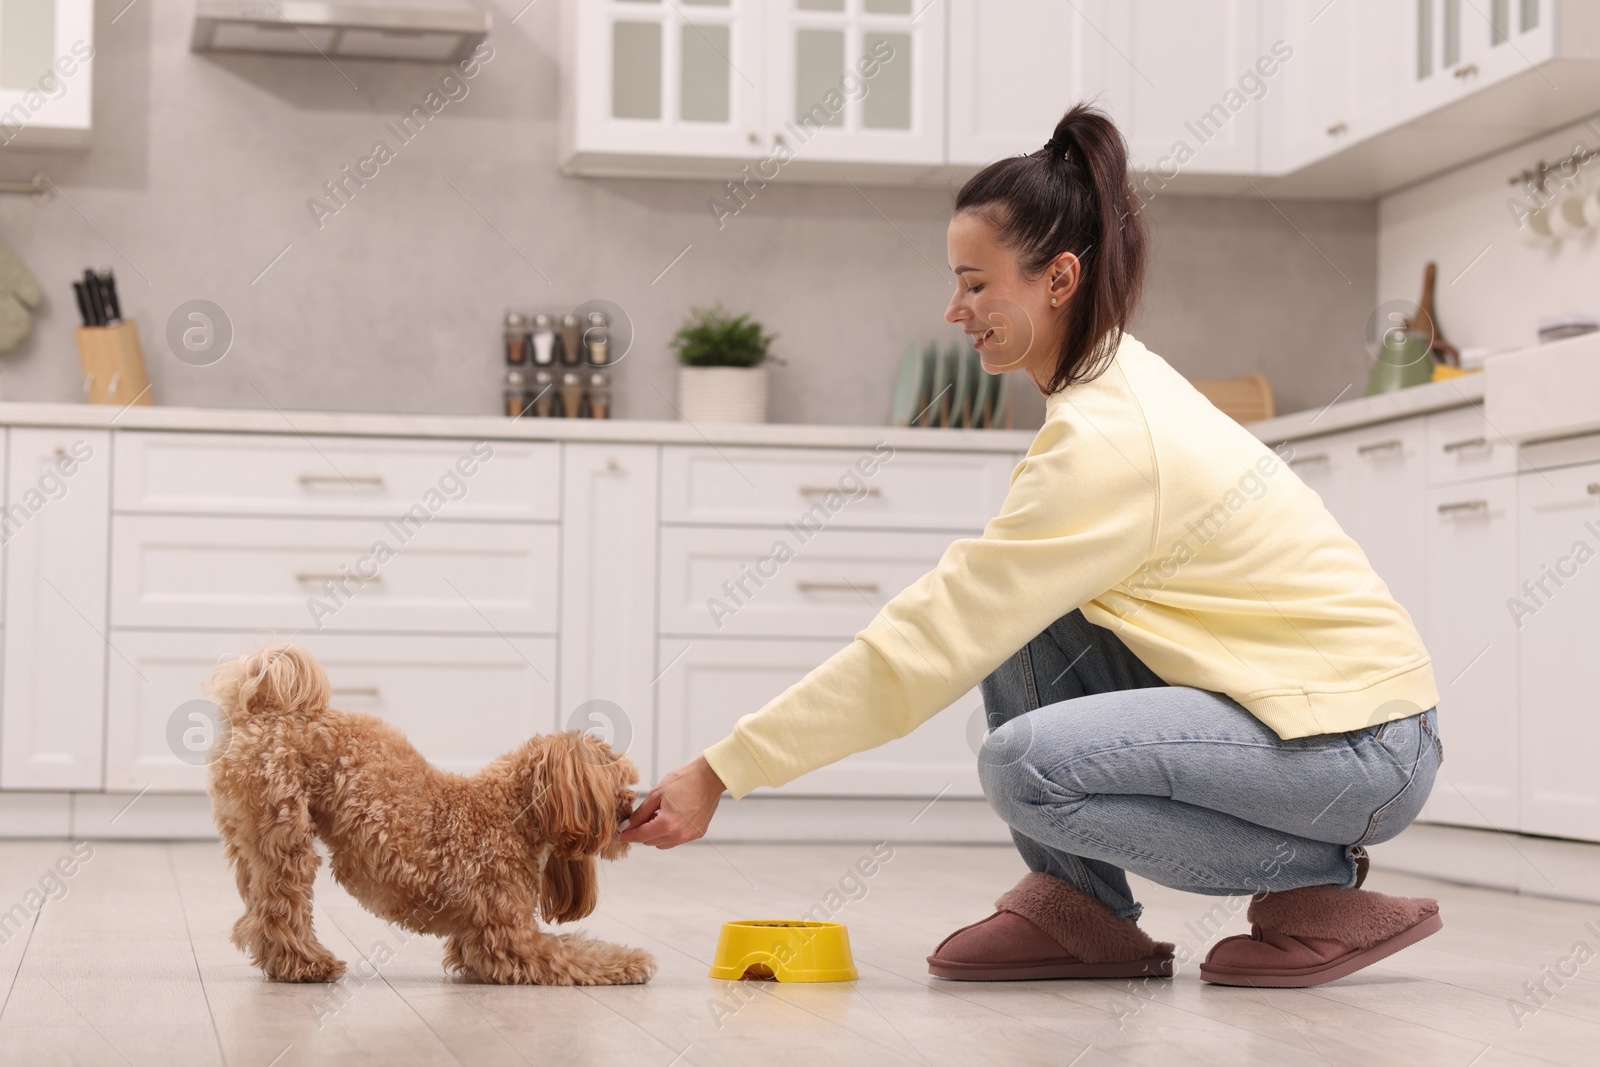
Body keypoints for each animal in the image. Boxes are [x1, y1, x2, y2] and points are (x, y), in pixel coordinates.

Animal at [206, 643, 656, 985]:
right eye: (619, 783)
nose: (630, 804)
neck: (512, 813)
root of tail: (262, 713)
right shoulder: (511, 940)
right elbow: (576, 954)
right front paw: (632, 961)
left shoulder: (472, 942)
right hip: (285, 830)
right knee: (281, 911)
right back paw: (308, 964)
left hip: (248, 837)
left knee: (257, 907)